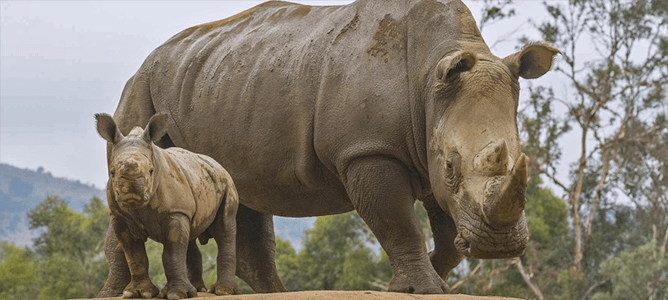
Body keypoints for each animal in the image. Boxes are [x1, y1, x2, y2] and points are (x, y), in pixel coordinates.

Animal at [94, 113, 240, 300]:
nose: (131, 193)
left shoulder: (175, 212)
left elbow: (173, 253)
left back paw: (222, 291)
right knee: (190, 236)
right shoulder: (119, 217)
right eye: (112, 172)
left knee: (224, 229)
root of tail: (218, 164)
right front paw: (137, 293)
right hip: (199, 179)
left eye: (151, 170)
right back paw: (197, 289)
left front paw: (175, 294)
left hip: (227, 183)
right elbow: (134, 255)